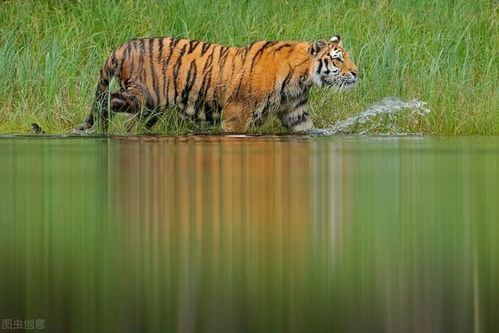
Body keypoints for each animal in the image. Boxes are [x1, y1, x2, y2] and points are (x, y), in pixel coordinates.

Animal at [74, 33, 358, 132]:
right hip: (146, 96)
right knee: (108, 100)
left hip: (151, 109)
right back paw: (103, 129)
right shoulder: (237, 113)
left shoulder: (296, 113)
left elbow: (307, 130)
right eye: (338, 59)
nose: (356, 73)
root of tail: (122, 47)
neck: (301, 79)